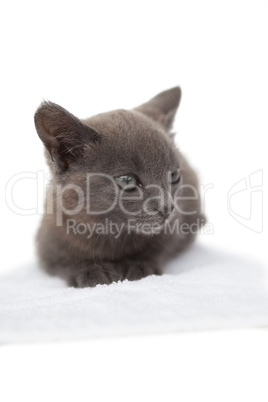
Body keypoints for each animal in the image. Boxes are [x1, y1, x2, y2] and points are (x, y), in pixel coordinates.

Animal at [34, 87, 205, 288]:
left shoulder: (177, 228)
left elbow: (159, 248)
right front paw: (89, 272)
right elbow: (62, 260)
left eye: (174, 176)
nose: (167, 208)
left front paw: (137, 265)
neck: (112, 235)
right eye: (127, 180)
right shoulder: (46, 242)